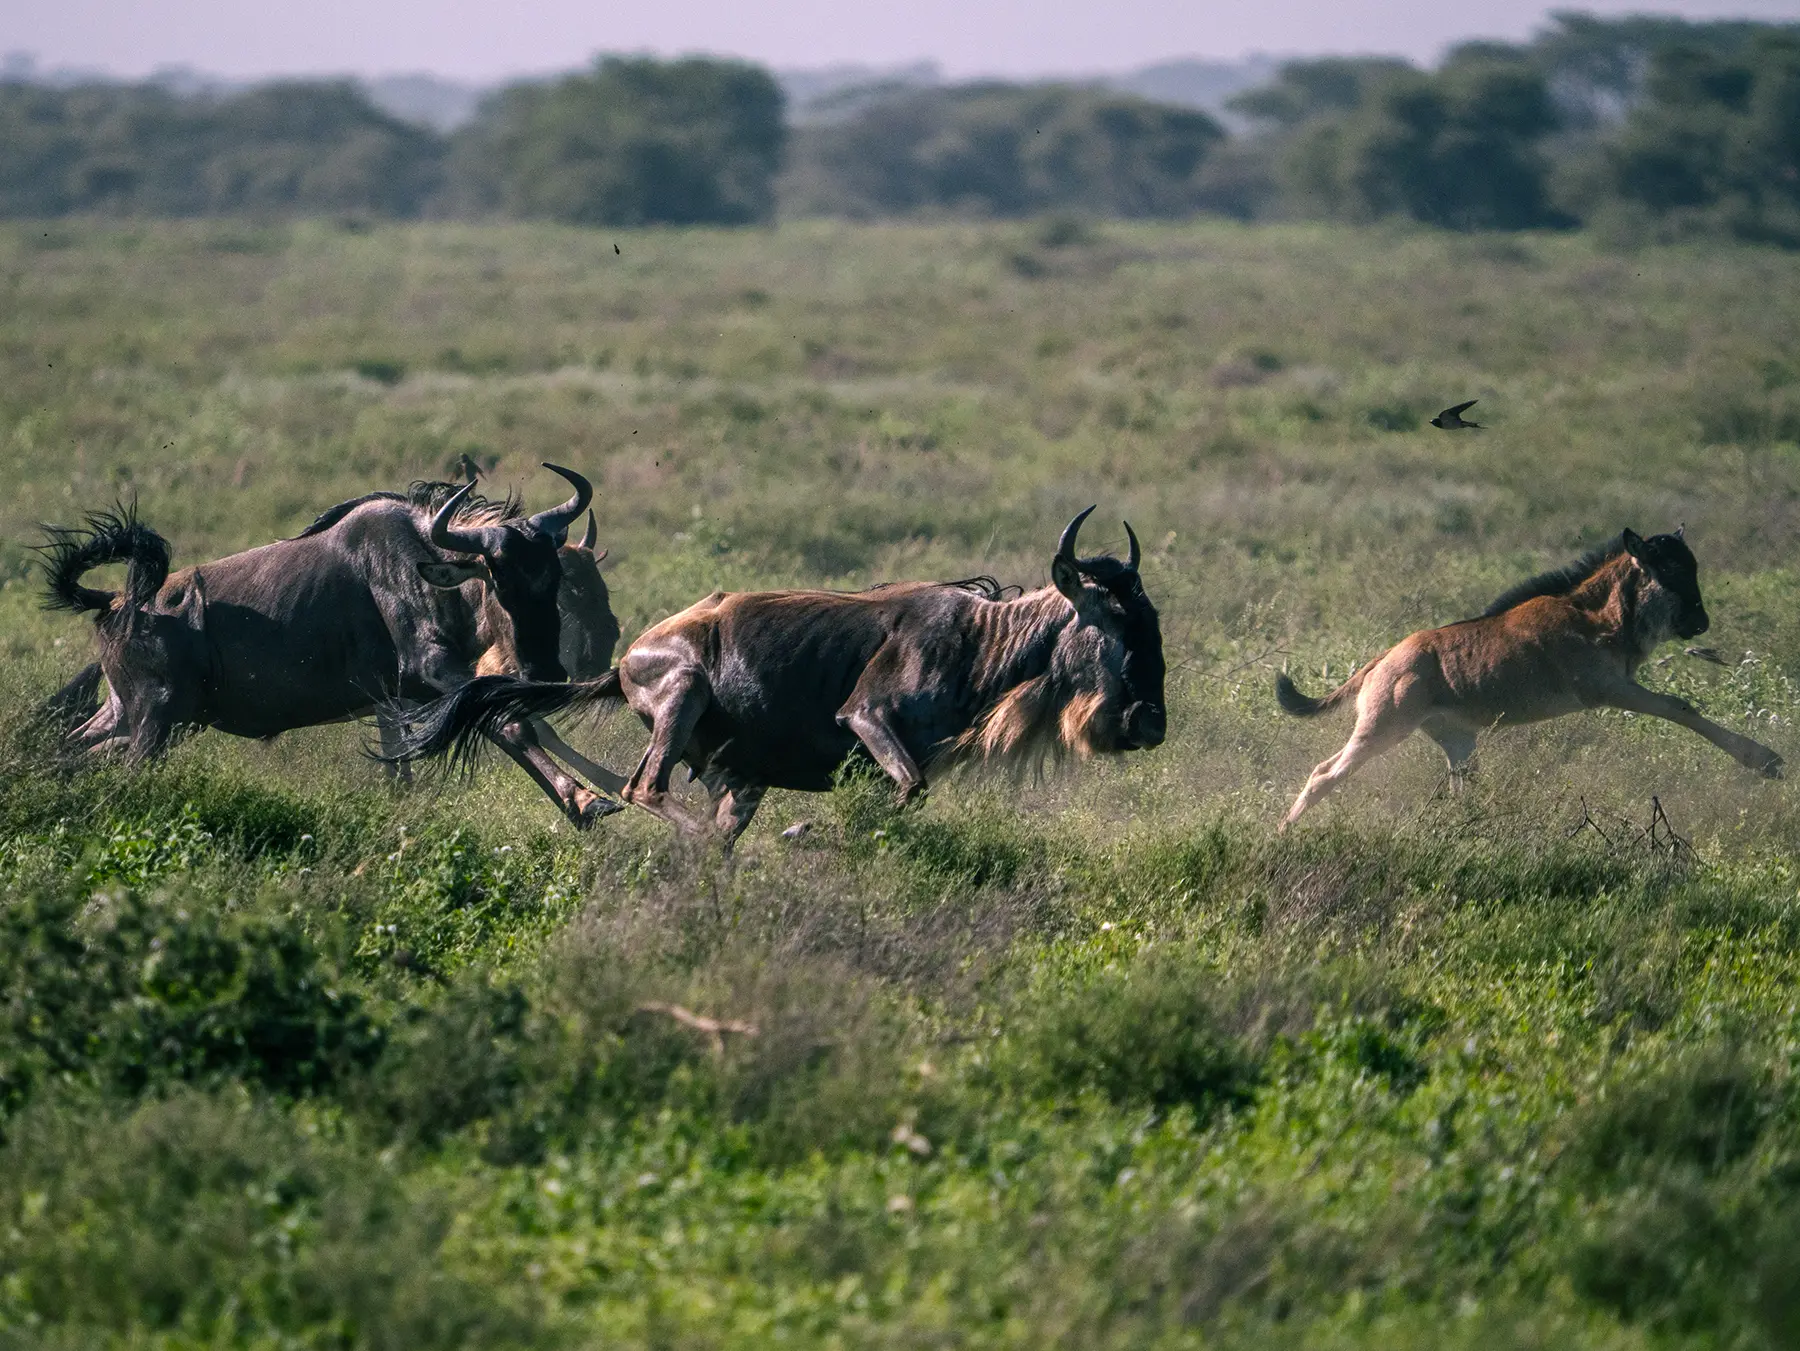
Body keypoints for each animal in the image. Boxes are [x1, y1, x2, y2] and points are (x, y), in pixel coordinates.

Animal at [39, 464, 619, 827]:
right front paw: (584, 801)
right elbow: (510, 723)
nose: (547, 669)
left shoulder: (399, 696)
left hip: (142, 715)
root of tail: (114, 602)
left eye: (552, 578)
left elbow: (410, 764)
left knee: (73, 747)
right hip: (155, 718)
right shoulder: (433, 669)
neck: (428, 568)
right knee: (117, 767)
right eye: (497, 580)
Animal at [390, 506, 1166, 844]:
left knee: (711, 820)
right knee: (647, 788)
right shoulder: (866, 717)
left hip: (741, 772)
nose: (1149, 724)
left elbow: (907, 795)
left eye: (1151, 619)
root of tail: (625, 662)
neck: (980, 639)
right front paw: (807, 832)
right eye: (1111, 618)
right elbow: (909, 787)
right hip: (682, 693)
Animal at [1273, 528, 1784, 829]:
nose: (1700, 623)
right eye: (1672, 568)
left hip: (1457, 740)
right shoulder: (1608, 689)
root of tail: (1382, 660)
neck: (1597, 616)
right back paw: (1283, 834)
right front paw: (1766, 760)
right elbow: (1681, 707)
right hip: (1383, 726)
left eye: (1694, 566)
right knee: (1323, 774)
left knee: (1460, 787)